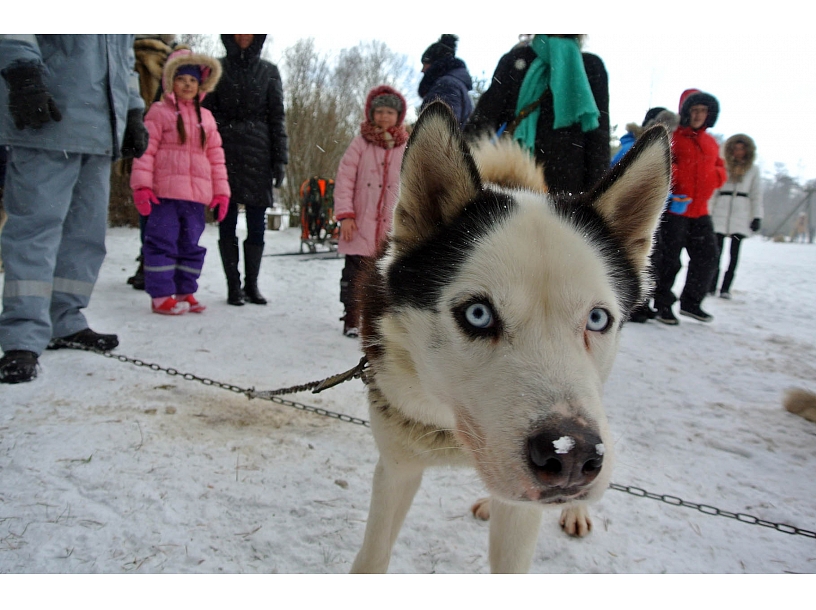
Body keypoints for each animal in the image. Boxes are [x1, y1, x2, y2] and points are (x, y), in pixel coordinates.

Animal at [350, 102, 668, 572]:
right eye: (478, 315)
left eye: (596, 319)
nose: (571, 454)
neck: (451, 427)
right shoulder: (396, 467)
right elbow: (372, 557)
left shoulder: (522, 511)